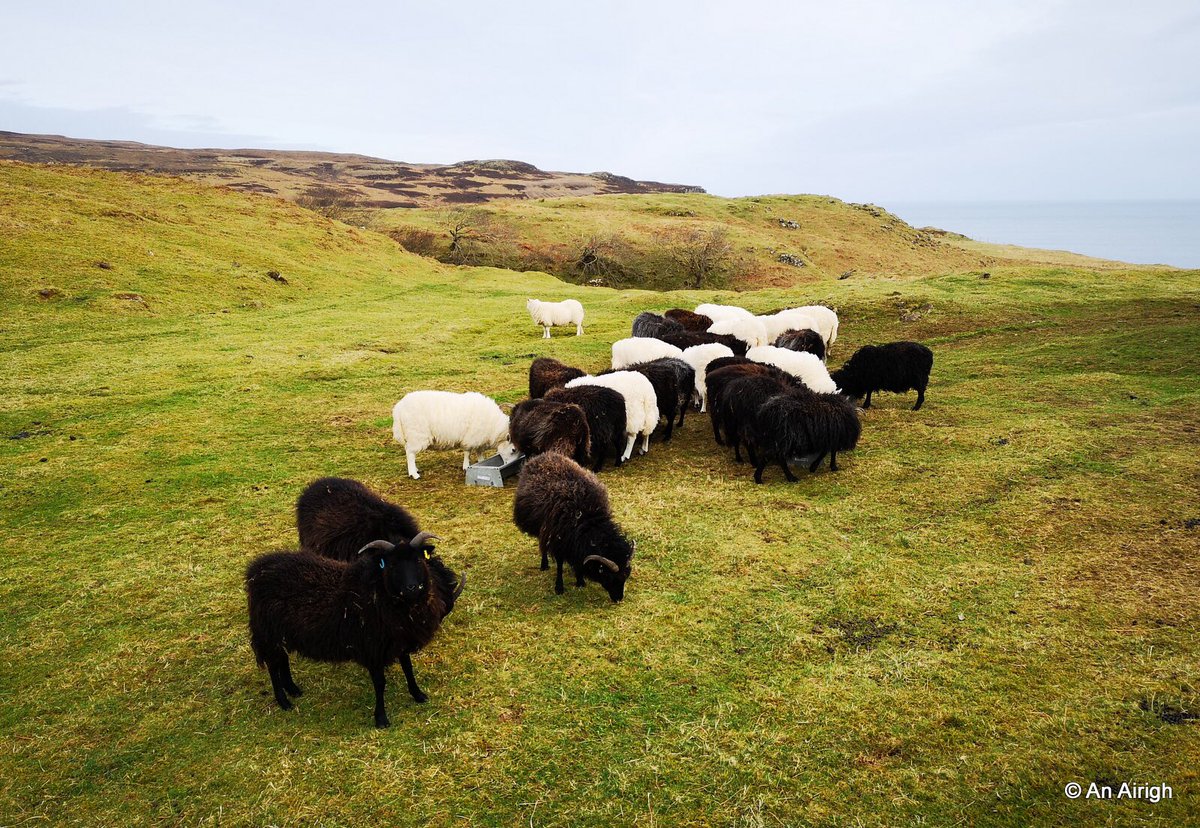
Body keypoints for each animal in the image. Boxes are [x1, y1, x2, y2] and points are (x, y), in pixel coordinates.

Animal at [245, 534, 463, 728]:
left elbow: (408, 669)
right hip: (268, 632)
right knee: (273, 666)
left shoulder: (399, 640)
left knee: (282, 660)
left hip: (282, 632)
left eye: (418, 560)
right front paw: (381, 718)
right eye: (392, 565)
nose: (412, 588)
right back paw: (284, 701)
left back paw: (293, 689)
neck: (378, 592)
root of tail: (255, 570)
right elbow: (380, 683)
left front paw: (418, 695)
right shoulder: (372, 648)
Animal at [512, 453, 635, 601]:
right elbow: (559, 564)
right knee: (543, 546)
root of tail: (542, 456)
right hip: (542, 529)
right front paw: (559, 587)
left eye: (626, 575)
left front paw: (580, 580)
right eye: (608, 576)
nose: (618, 599)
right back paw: (544, 564)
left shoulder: (574, 542)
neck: (587, 519)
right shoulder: (558, 539)